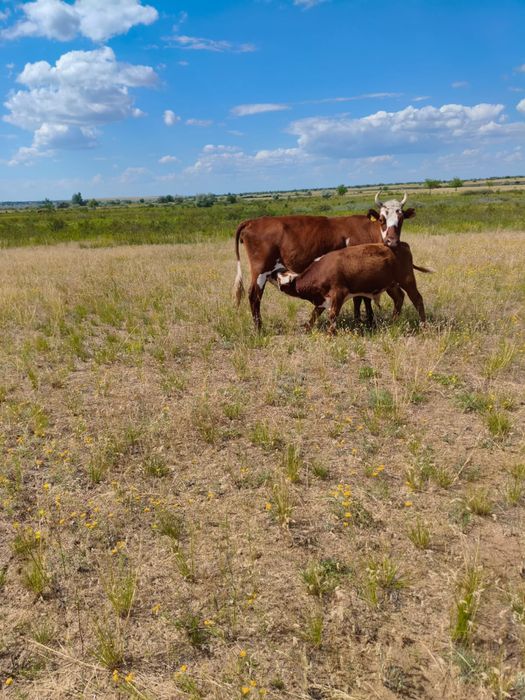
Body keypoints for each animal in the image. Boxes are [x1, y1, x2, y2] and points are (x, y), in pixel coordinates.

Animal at [233, 192, 415, 330]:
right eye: (382, 219)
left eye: (401, 219)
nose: (392, 241)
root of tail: (253, 221)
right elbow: (362, 298)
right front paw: (365, 322)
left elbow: (360, 298)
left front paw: (361, 321)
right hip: (261, 270)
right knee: (254, 296)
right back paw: (259, 329)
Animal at [274, 241, 432, 334]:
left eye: (280, 281)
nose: (275, 275)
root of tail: (402, 244)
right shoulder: (323, 299)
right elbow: (314, 314)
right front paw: (307, 328)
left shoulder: (339, 292)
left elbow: (332, 315)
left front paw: (330, 334)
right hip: (391, 285)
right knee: (399, 298)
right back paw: (393, 322)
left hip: (407, 280)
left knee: (417, 299)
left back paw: (423, 325)